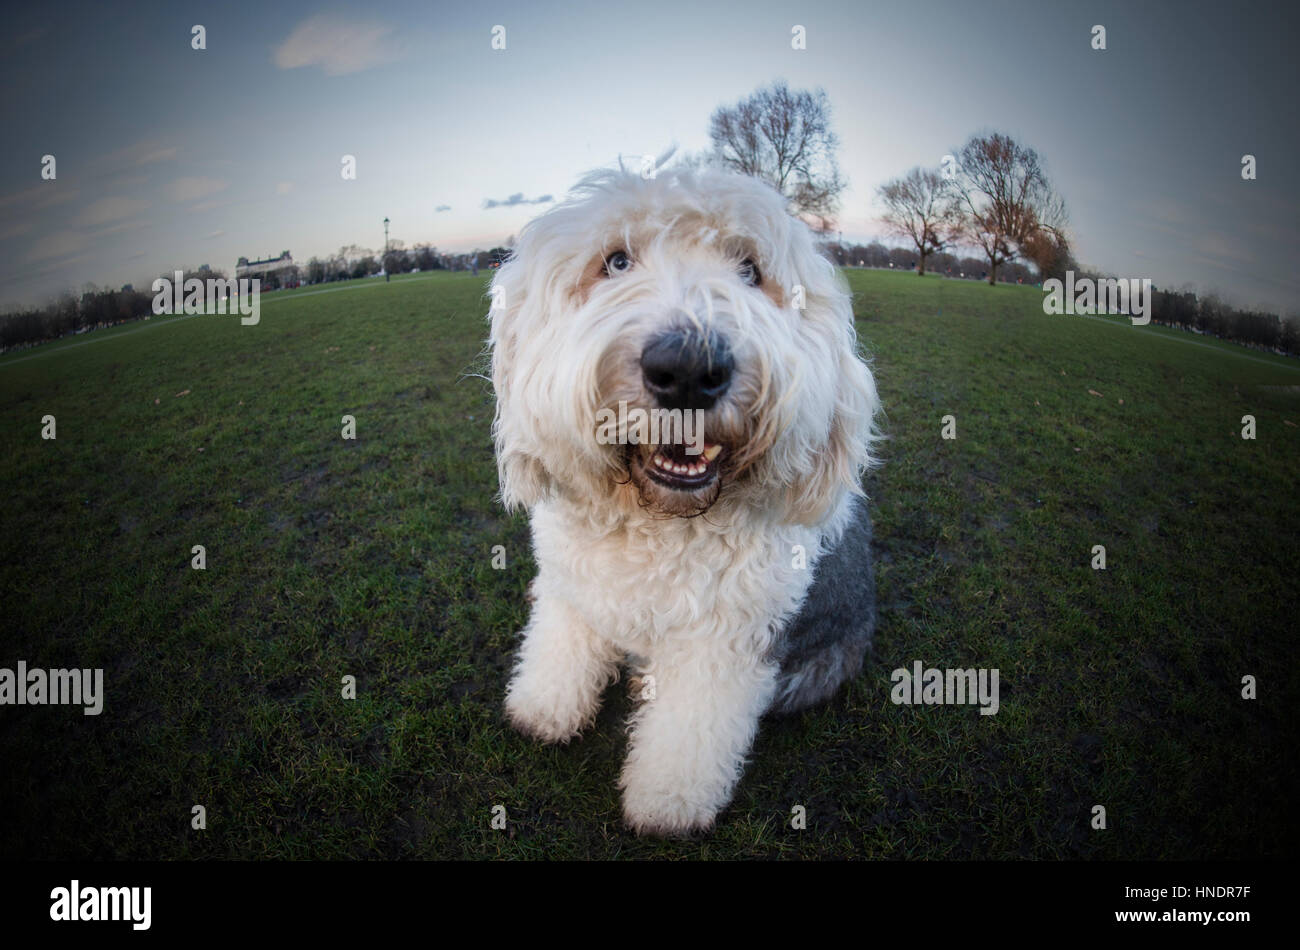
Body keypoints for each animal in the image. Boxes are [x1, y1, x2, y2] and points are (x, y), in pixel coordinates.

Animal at [488, 163, 883, 842]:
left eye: (750, 269)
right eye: (616, 261)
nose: (689, 369)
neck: (657, 522)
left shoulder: (726, 643)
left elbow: (691, 733)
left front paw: (666, 804)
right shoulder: (572, 587)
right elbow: (560, 644)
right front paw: (543, 708)